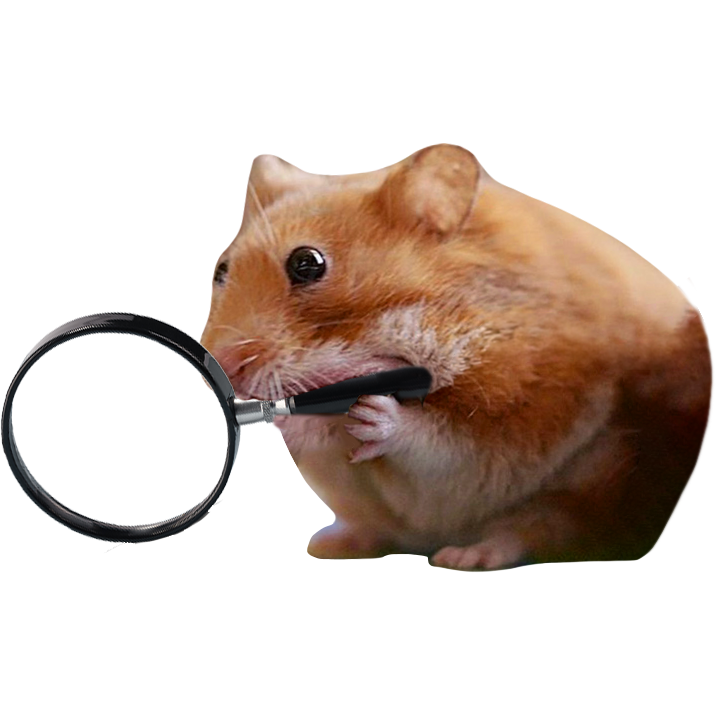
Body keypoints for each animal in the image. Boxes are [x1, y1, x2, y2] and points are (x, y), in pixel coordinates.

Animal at [200, 144, 713, 570]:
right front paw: (304, 421)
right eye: (221, 269)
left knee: (539, 528)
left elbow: (447, 445)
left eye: (307, 263)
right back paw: (329, 544)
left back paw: (465, 556)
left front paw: (375, 415)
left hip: (592, 484)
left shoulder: (526, 417)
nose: (222, 369)